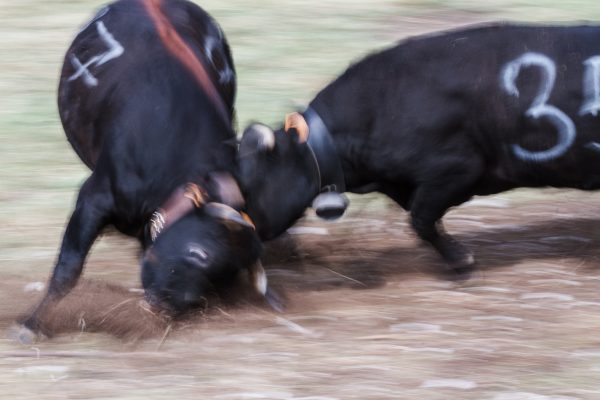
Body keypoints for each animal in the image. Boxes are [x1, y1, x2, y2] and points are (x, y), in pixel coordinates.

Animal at [19, 0, 268, 340]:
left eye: (228, 270)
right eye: (197, 253)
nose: (175, 303)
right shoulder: (93, 199)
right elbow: (68, 269)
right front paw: (31, 325)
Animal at [239, 22, 600, 278]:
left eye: (250, 182)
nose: (243, 234)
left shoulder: (456, 170)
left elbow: (421, 220)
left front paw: (461, 260)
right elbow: (424, 220)